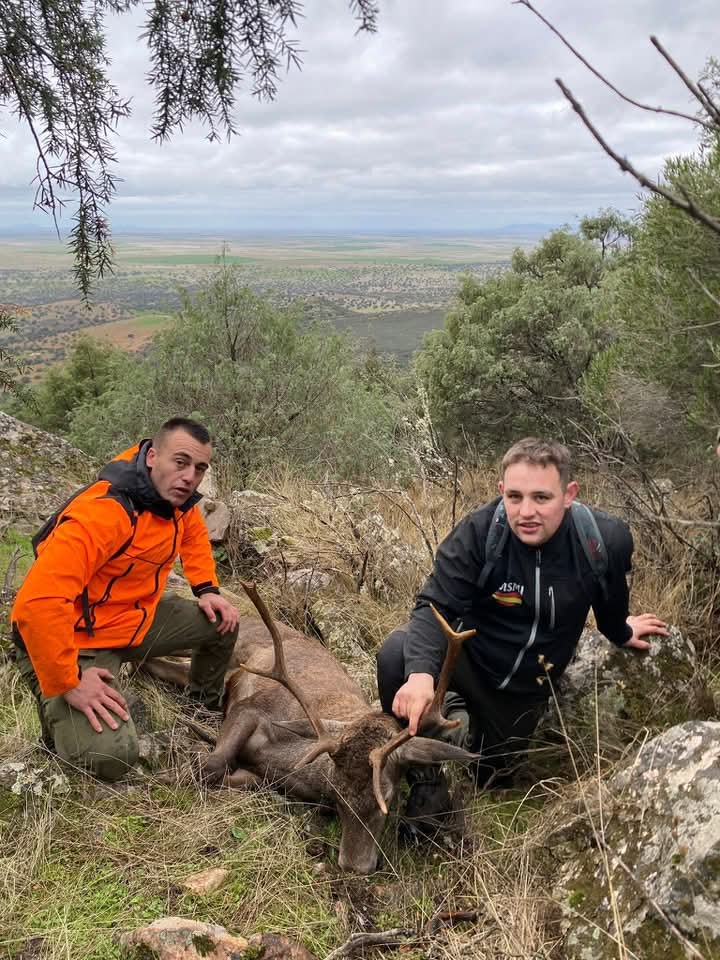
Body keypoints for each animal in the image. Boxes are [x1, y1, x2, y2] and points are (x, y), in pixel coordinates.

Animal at [142, 581, 477, 874]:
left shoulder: (263, 776)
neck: (290, 764)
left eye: (389, 795)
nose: (354, 866)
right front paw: (166, 773)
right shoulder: (251, 707)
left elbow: (233, 776)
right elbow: (213, 766)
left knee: (160, 665)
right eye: (337, 794)